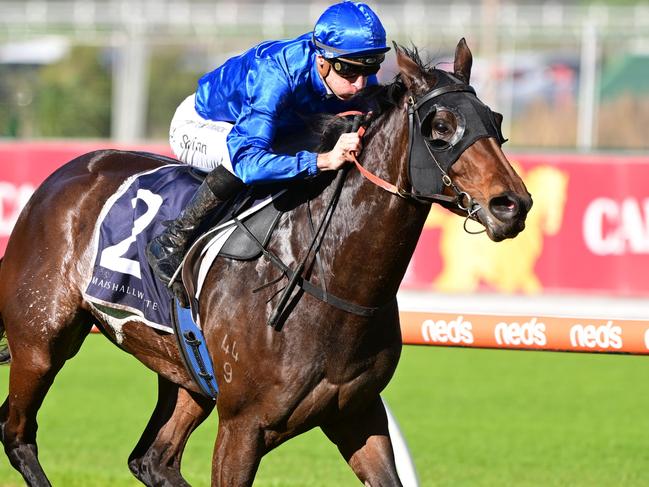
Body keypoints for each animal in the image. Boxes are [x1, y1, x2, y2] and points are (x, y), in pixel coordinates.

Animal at [0, 40, 532, 486]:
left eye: (496, 121)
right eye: (439, 128)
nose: (513, 204)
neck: (330, 281)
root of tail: (65, 173)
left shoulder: (357, 413)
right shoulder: (243, 425)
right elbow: (247, 154)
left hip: (185, 373)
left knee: (151, 459)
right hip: (40, 342)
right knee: (17, 432)